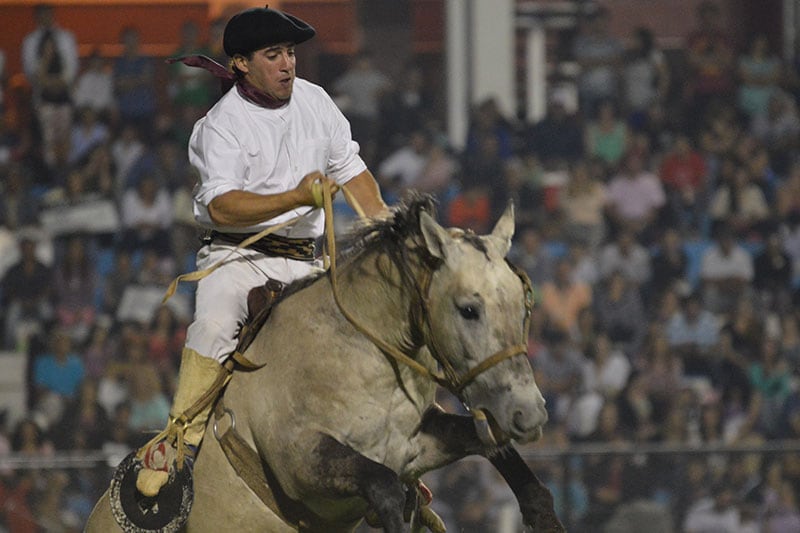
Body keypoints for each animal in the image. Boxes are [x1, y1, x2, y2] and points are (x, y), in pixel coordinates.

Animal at [86, 195, 564, 532]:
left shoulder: (416, 446)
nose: (528, 412)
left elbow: (499, 453)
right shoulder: (302, 461)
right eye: (468, 309)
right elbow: (385, 487)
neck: (360, 355)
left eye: (523, 303)